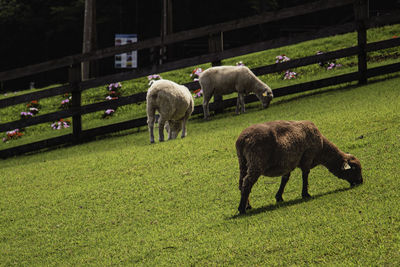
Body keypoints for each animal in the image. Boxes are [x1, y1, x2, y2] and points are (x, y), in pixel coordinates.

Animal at [236, 120, 364, 215]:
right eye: (354, 169)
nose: (361, 182)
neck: (322, 149)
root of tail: (243, 139)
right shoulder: (308, 156)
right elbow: (305, 175)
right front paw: (305, 194)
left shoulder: (287, 163)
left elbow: (285, 179)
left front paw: (279, 197)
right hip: (257, 161)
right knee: (247, 182)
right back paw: (241, 209)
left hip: (243, 162)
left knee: (242, 183)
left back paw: (247, 205)